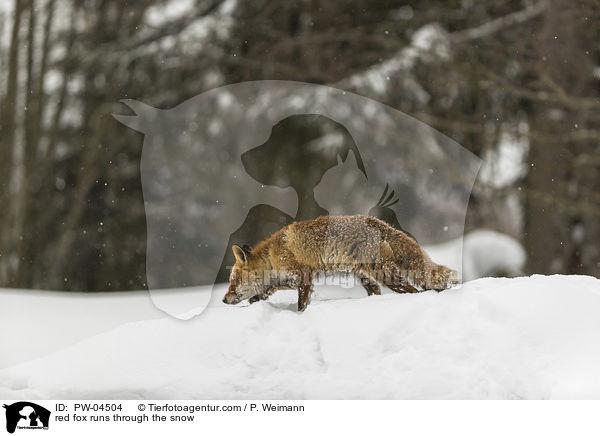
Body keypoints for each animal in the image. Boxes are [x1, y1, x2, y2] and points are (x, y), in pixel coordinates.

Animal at [223, 214, 458, 310]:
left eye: (233, 281)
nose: (224, 299)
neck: (273, 254)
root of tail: (381, 224)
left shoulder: (303, 275)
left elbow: (299, 300)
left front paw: (300, 314)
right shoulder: (299, 277)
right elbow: (271, 287)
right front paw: (257, 297)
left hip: (384, 274)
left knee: (413, 291)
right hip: (366, 278)